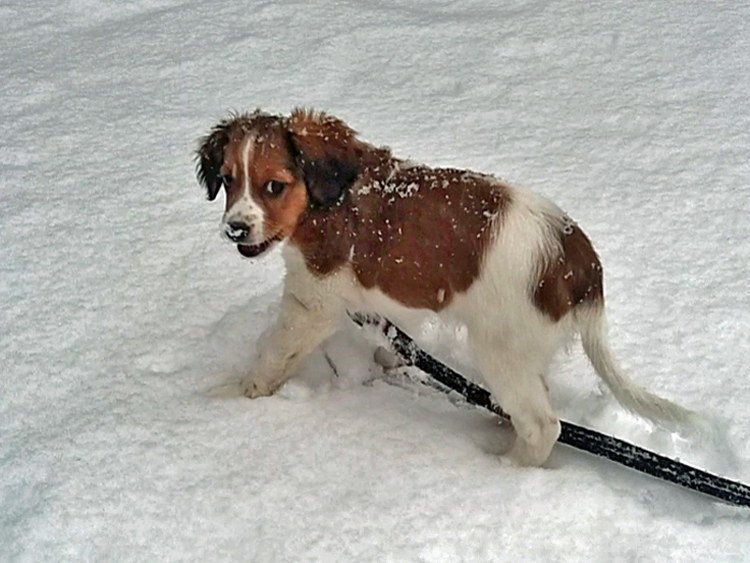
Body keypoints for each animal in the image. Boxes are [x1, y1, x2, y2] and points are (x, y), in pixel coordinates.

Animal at [195, 110, 700, 468]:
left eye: (274, 186)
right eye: (229, 180)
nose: (234, 230)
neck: (330, 198)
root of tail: (579, 261)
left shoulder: (312, 301)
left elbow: (274, 354)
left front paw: (238, 396)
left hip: (502, 349)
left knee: (544, 426)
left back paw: (505, 467)